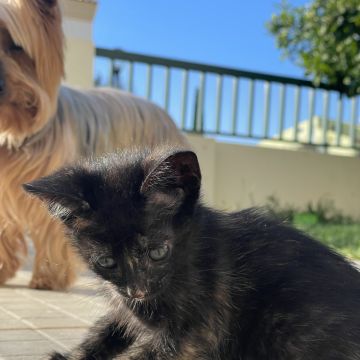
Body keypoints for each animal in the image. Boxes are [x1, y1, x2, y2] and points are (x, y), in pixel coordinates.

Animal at [23, 148, 360, 358]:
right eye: (106, 261)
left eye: (158, 252)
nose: (137, 290)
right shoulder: (125, 307)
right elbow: (106, 328)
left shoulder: (198, 332)